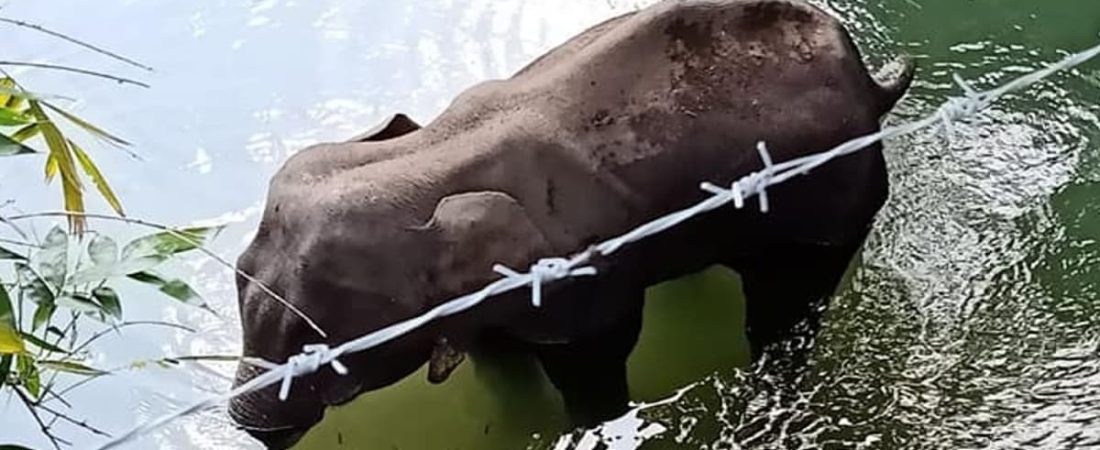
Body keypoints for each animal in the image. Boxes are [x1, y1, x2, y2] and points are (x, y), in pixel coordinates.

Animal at [234, 0, 919, 444]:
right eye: (239, 274)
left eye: (331, 360)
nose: (246, 424)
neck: (432, 156)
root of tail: (873, 82)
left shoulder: (580, 278)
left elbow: (597, 356)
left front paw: (584, 427)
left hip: (834, 195)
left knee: (786, 304)